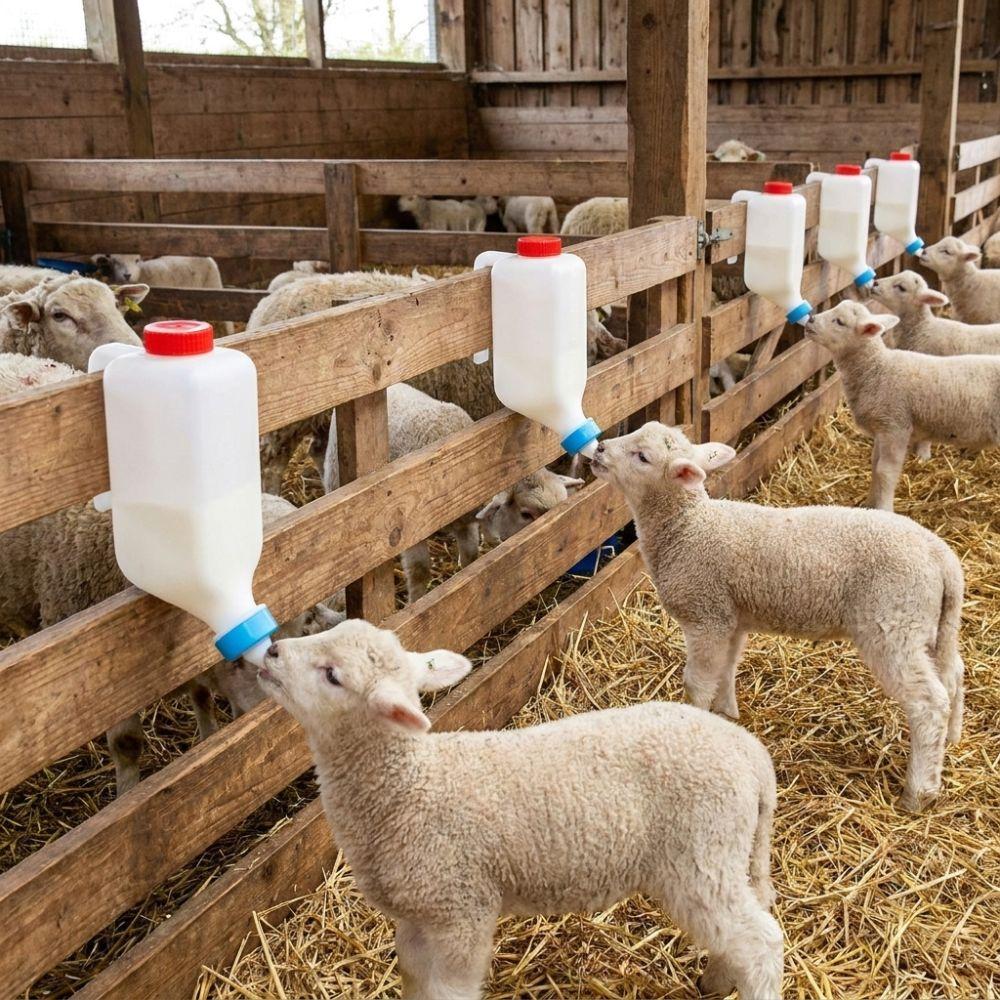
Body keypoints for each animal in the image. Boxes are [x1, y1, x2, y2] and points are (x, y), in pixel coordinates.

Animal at [259, 618, 783, 1000]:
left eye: (333, 675)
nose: (271, 652)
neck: (408, 788)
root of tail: (749, 753)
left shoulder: (462, 913)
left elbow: (450, 991)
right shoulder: (415, 917)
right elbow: (412, 979)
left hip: (700, 860)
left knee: (763, 943)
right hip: (725, 858)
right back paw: (716, 980)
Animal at [589, 420, 964, 813]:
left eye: (642, 457)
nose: (598, 449)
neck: (687, 527)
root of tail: (942, 557)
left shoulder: (705, 616)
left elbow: (697, 681)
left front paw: (697, 719)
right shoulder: (730, 617)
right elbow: (727, 669)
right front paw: (728, 714)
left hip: (892, 626)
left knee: (928, 702)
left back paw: (918, 791)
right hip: (930, 624)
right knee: (953, 675)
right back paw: (952, 740)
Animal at [806, 299, 1000, 510]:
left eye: (840, 322)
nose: (810, 319)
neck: (876, 369)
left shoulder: (896, 426)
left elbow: (884, 471)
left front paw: (884, 509)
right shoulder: (881, 429)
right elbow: (874, 465)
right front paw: (870, 505)